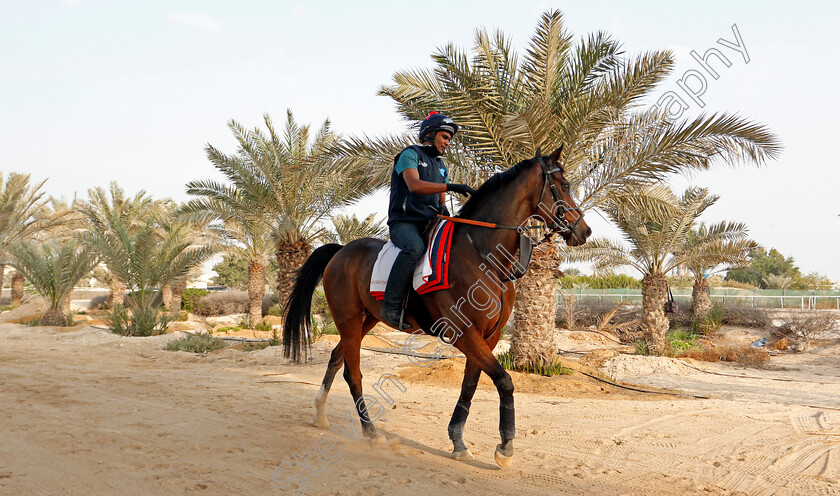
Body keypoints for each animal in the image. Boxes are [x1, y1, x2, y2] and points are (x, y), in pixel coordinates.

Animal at [286, 145, 592, 466]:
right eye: (565, 185)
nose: (584, 231)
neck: (482, 255)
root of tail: (342, 250)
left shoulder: (489, 337)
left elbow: (470, 386)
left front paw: (458, 441)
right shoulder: (464, 333)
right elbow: (504, 380)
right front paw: (505, 447)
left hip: (366, 319)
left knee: (336, 358)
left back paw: (320, 413)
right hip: (348, 319)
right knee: (352, 372)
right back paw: (370, 432)